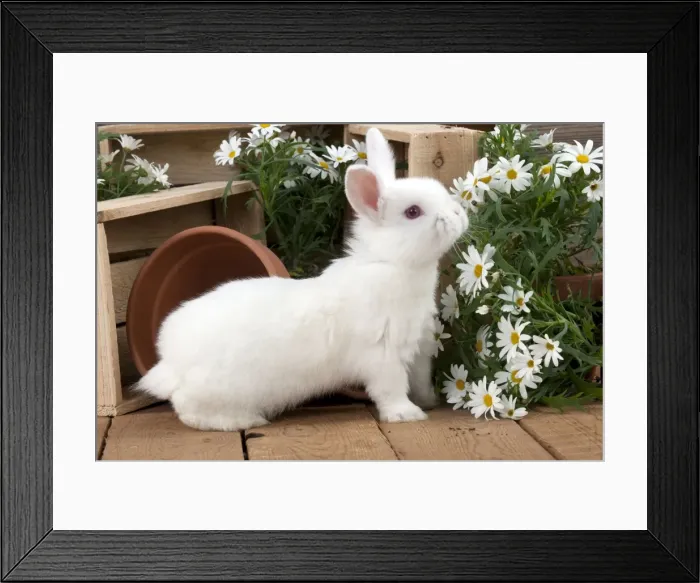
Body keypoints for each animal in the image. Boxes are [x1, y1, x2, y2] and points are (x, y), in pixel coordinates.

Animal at [136, 128, 469, 431]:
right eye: (413, 212)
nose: (459, 215)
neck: (392, 262)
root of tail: (170, 360)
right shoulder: (383, 354)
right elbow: (392, 388)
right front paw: (407, 415)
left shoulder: (419, 349)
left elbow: (420, 380)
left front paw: (428, 402)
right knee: (187, 409)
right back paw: (246, 420)